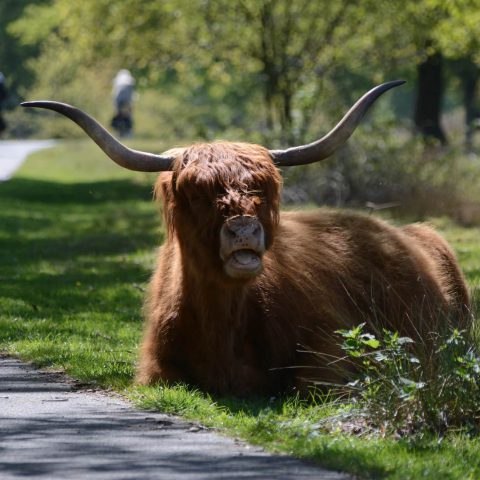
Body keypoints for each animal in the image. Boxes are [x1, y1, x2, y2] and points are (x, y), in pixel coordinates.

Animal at [22, 80, 468, 396]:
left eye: (264, 191)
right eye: (196, 194)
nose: (244, 230)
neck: (222, 327)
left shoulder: (331, 349)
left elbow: (314, 385)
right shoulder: (155, 371)